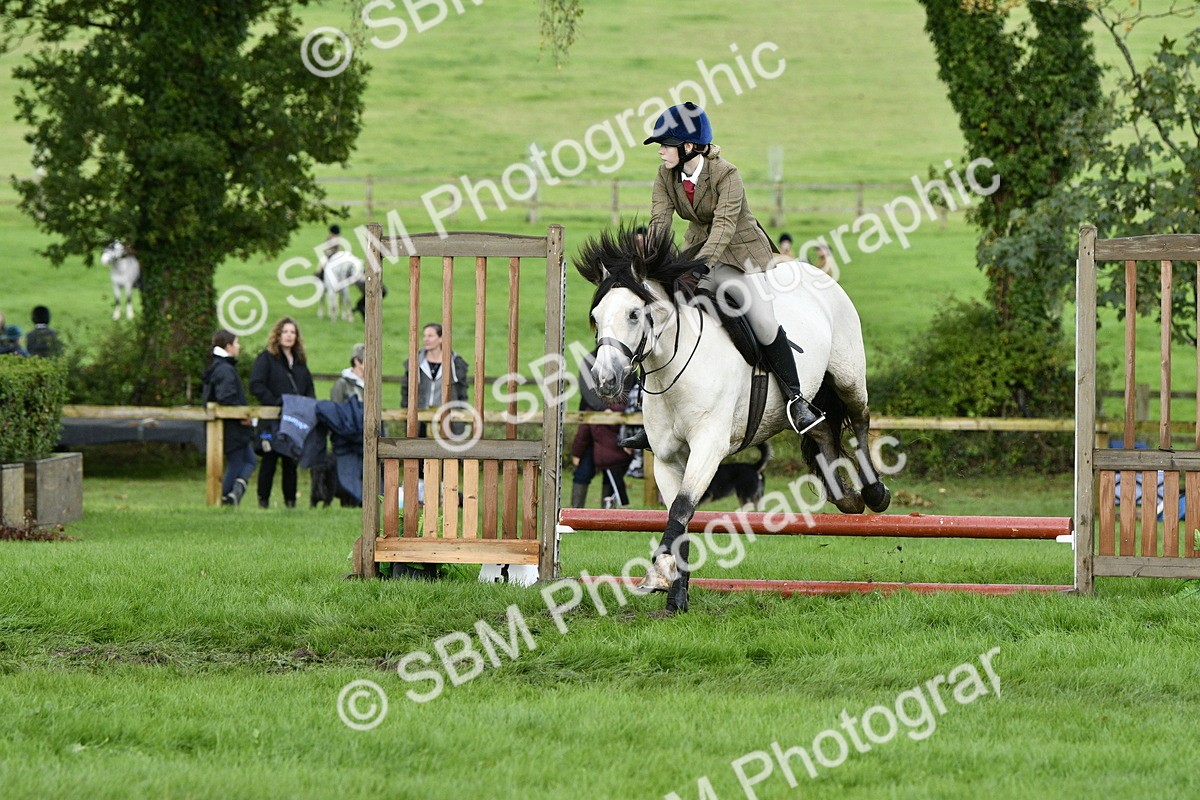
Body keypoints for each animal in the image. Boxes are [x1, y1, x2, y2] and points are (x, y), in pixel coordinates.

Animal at [576, 224, 892, 613]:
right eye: (596, 316)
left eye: (634, 314)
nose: (605, 380)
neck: (674, 370)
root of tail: (815, 272)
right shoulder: (666, 459)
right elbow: (680, 517)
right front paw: (676, 596)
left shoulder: (708, 447)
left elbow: (680, 509)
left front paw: (658, 575)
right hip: (815, 394)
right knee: (822, 436)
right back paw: (846, 498)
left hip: (848, 377)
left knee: (860, 422)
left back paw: (875, 492)